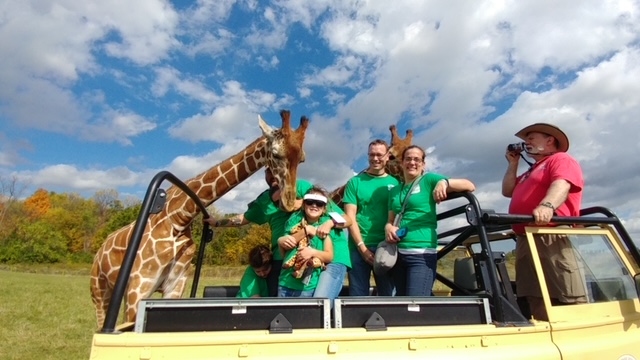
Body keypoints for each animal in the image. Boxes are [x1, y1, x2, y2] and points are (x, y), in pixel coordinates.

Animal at [91, 111, 308, 328]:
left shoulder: (174, 285)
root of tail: (100, 249)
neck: (178, 217)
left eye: (302, 159)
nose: (289, 202)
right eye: (276, 154)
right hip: (100, 292)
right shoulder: (138, 286)